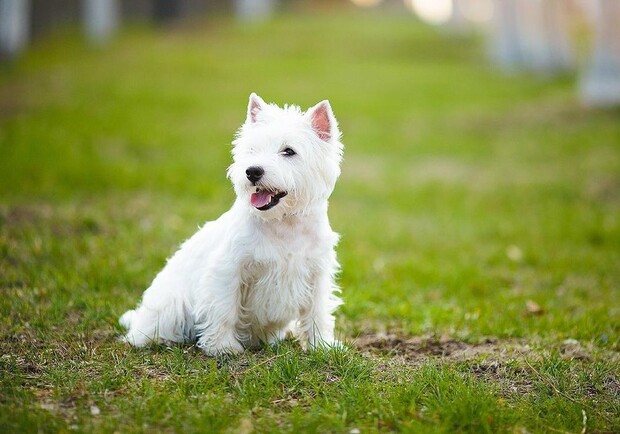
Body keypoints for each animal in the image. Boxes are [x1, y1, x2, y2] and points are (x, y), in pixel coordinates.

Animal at [121, 93, 344, 354]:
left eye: (289, 151)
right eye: (252, 149)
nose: (252, 171)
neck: (284, 224)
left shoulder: (317, 273)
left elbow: (317, 312)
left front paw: (323, 346)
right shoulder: (228, 270)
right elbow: (225, 309)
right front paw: (223, 347)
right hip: (170, 306)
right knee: (145, 333)